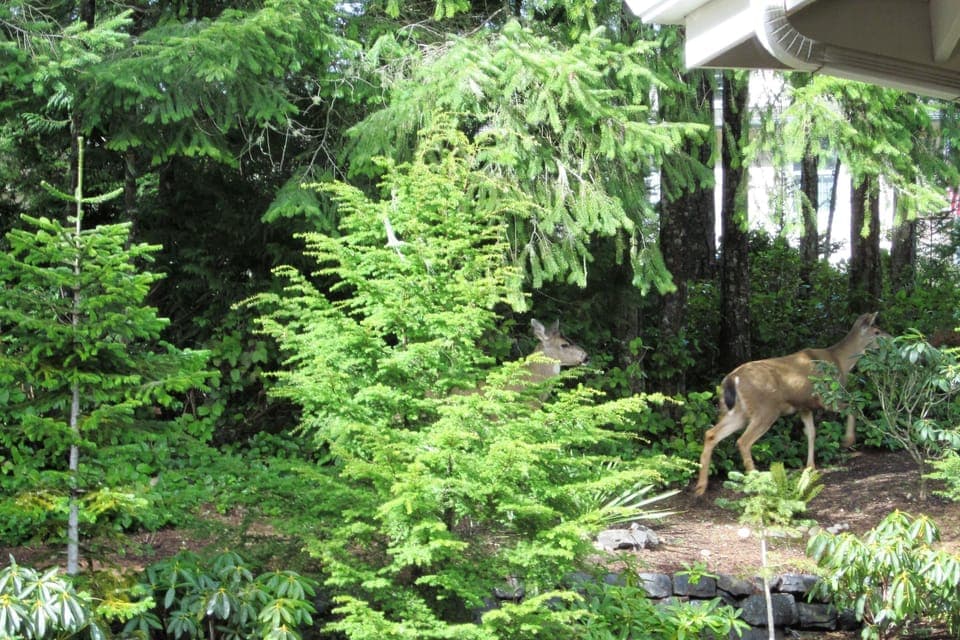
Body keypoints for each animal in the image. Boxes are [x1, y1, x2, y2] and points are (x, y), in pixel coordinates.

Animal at [694, 312, 887, 496]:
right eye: (877, 332)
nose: (891, 338)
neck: (840, 362)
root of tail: (732, 378)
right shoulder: (826, 397)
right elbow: (853, 408)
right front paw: (847, 441)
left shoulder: (805, 406)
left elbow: (811, 433)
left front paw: (810, 467)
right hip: (766, 410)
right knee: (743, 441)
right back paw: (757, 482)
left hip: (737, 411)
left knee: (711, 434)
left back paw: (700, 487)